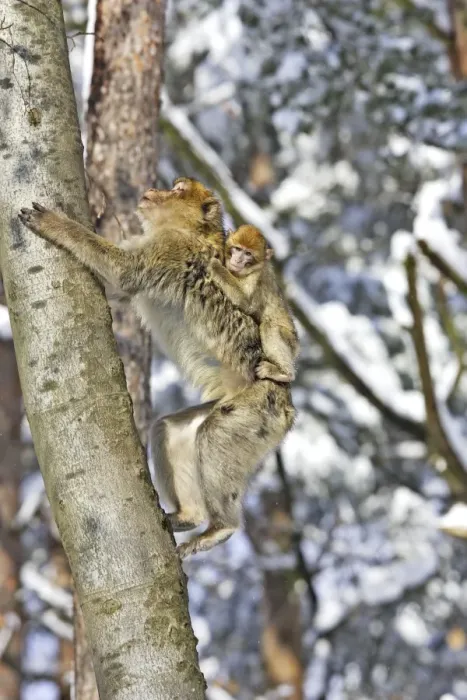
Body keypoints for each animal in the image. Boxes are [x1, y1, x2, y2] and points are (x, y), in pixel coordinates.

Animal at [209, 225, 299, 384]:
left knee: (269, 327)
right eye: (237, 249)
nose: (238, 259)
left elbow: (245, 301)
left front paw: (215, 264)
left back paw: (284, 373)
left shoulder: (256, 278)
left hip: (291, 342)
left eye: (248, 253)